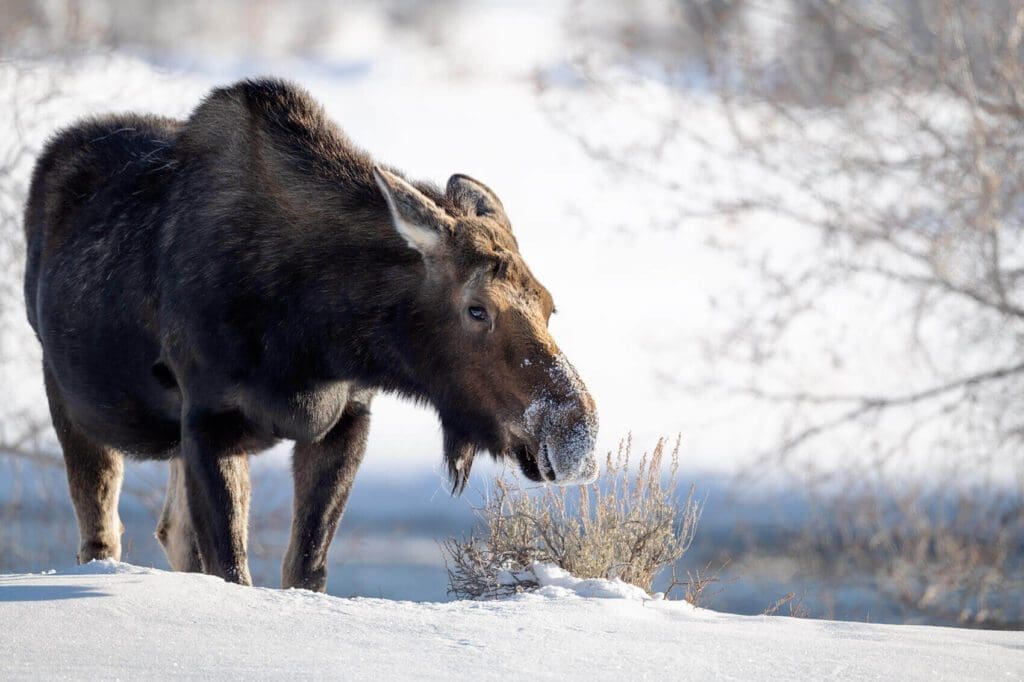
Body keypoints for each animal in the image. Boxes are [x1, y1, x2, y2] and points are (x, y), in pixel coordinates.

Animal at [24, 78, 598, 589]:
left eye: (549, 305)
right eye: (477, 309)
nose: (578, 434)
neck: (313, 334)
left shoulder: (347, 418)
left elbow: (305, 568)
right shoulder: (209, 417)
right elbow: (232, 567)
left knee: (171, 531)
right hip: (70, 398)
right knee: (101, 534)